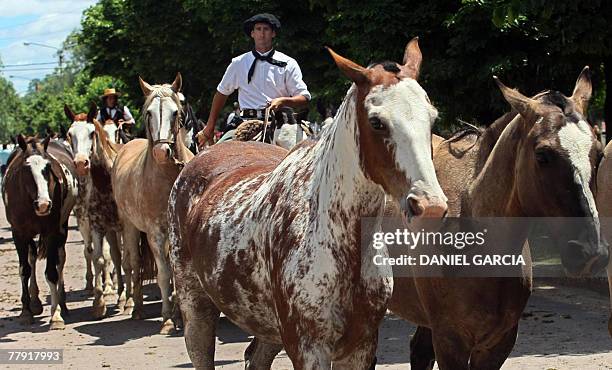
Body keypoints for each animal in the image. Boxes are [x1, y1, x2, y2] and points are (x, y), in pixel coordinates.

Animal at [1, 135, 77, 330]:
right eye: (26, 169)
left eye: (48, 167)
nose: (43, 204)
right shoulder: (19, 233)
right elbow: (24, 269)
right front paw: (26, 312)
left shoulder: (51, 231)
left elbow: (52, 272)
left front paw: (56, 315)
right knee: (32, 257)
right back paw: (34, 302)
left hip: (62, 228)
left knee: (59, 259)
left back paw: (62, 303)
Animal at [111, 72, 192, 332]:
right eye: (148, 113)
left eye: (176, 112)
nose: (161, 152)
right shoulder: (156, 233)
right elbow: (164, 274)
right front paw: (167, 318)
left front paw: (180, 315)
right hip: (129, 227)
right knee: (134, 264)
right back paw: (136, 307)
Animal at [170, 39, 448, 368]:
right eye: (377, 122)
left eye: (432, 118)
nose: (429, 206)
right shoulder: (309, 349)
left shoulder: (361, 347)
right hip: (196, 310)